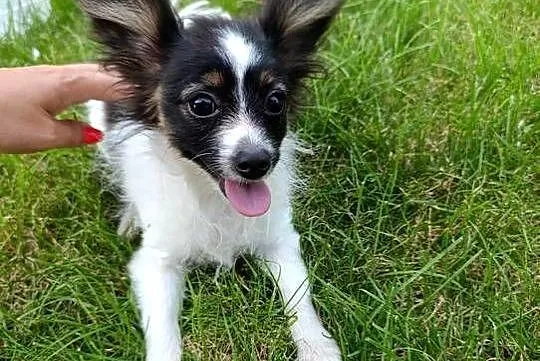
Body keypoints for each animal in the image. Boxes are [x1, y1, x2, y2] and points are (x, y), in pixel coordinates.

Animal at [80, 0, 342, 360]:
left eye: (276, 101)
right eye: (202, 104)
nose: (257, 163)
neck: (212, 195)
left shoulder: (279, 239)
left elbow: (298, 296)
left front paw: (317, 347)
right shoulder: (156, 263)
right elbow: (164, 329)